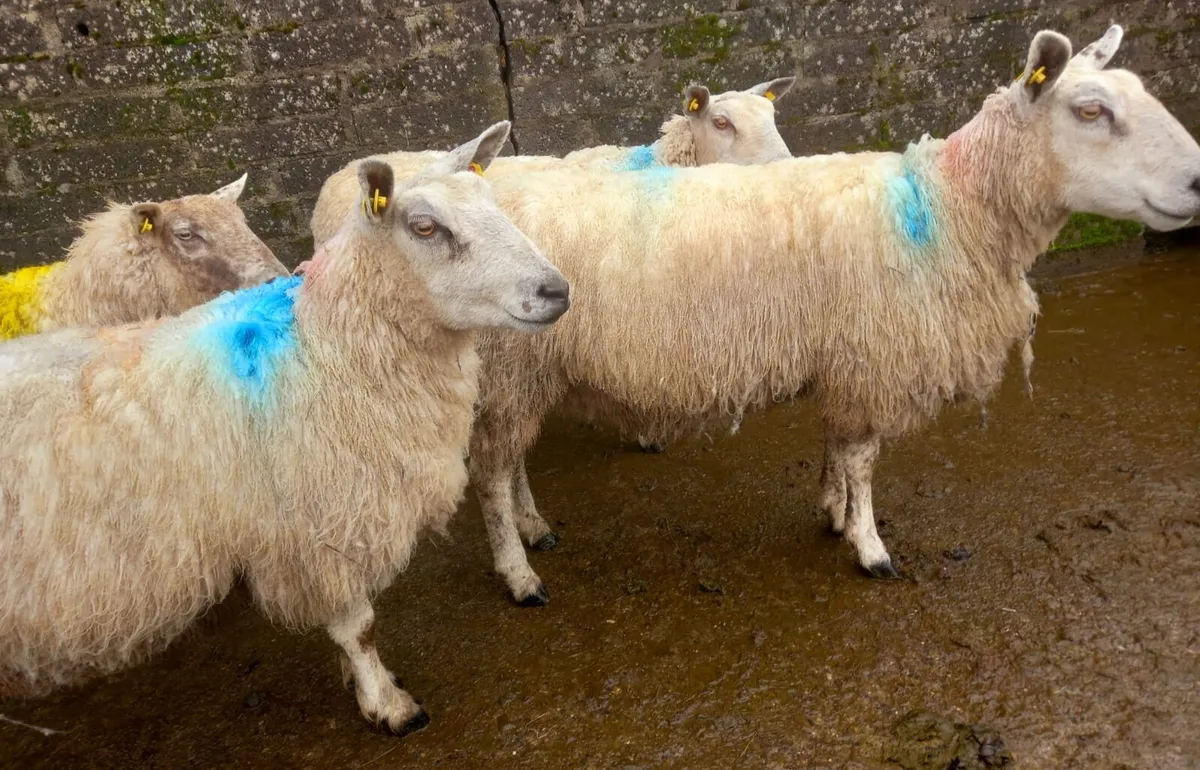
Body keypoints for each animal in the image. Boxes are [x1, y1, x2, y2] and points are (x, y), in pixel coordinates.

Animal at [449, 25, 1198, 605]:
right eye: (1091, 110)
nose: (1197, 180)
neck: (951, 209)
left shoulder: (848, 353)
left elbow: (839, 445)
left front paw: (833, 511)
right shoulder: (875, 354)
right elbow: (863, 458)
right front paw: (869, 545)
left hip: (520, 374)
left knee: (508, 463)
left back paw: (533, 525)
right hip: (512, 367)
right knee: (490, 476)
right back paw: (519, 572)